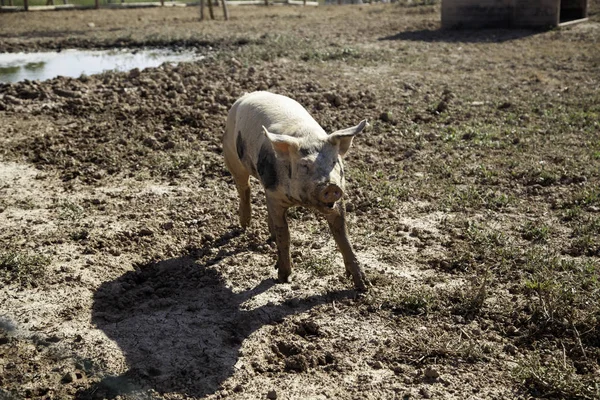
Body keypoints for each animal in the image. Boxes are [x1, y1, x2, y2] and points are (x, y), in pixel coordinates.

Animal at [223, 90, 368, 290]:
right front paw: (283, 278)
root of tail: (248, 95)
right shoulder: (275, 196)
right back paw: (244, 225)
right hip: (231, 155)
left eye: (334, 162)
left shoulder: (337, 202)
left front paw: (363, 285)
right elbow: (285, 234)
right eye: (304, 165)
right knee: (244, 188)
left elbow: (343, 236)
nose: (331, 186)